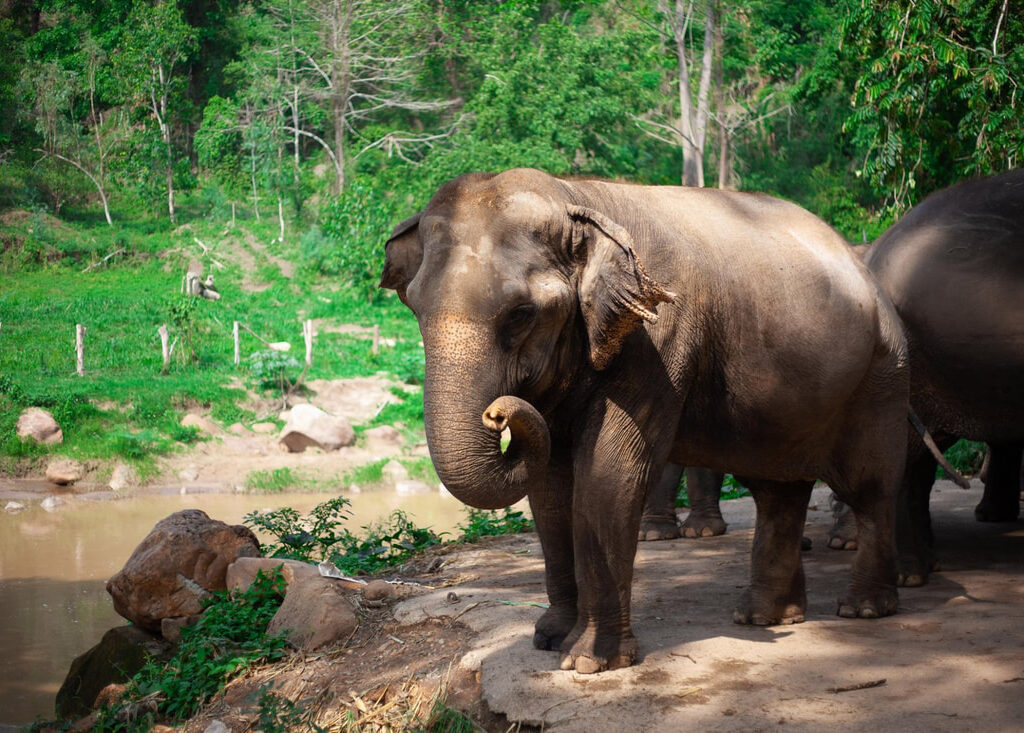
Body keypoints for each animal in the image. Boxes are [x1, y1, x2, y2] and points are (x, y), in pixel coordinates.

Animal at [380, 168, 909, 673]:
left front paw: (588, 661)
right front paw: (549, 638)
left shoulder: (658, 337)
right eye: (414, 306)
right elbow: (550, 487)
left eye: (521, 313)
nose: (497, 412)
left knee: (870, 487)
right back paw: (766, 617)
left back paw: (863, 608)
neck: (577, 199)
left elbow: (607, 475)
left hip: (881, 376)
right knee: (778, 491)